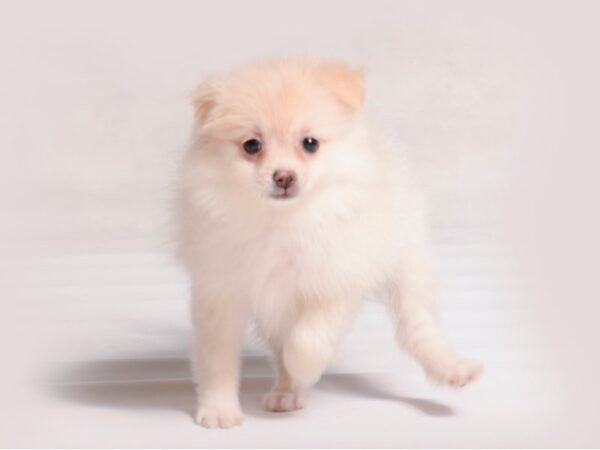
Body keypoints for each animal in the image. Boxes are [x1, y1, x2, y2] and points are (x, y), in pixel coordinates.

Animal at [175, 57, 482, 428]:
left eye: (310, 143)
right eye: (251, 145)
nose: (284, 176)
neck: (282, 220)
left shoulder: (337, 277)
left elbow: (308, 339)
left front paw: (305, 369)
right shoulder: (221, 291)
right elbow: (217, 359)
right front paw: (219, 410)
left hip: (406, 260)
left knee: (418, 324)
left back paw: (452, 368)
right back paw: (285, 393)